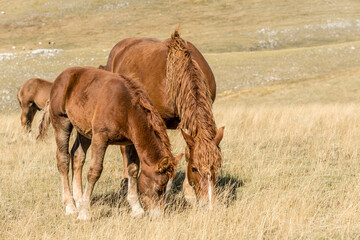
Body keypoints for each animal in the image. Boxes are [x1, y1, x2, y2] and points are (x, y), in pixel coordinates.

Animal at [41, 66, 183, 220]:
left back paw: (78, 200)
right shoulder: (100, 137)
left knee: (77, 156)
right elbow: (94, 171)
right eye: (159, 188)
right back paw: (71, 207)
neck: (126, 108)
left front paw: (136, 209)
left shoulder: (130, 142)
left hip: (84, 130)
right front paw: (84, 213)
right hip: (62, 121)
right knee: (63, 160)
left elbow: (133, 170)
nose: (157, 216)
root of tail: (60, 77)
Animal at [102, 29, 224, 208]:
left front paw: (188, 194)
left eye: (217, 166)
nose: (208, 204)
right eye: (194, 168)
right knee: (125, 151)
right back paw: (125, 187)